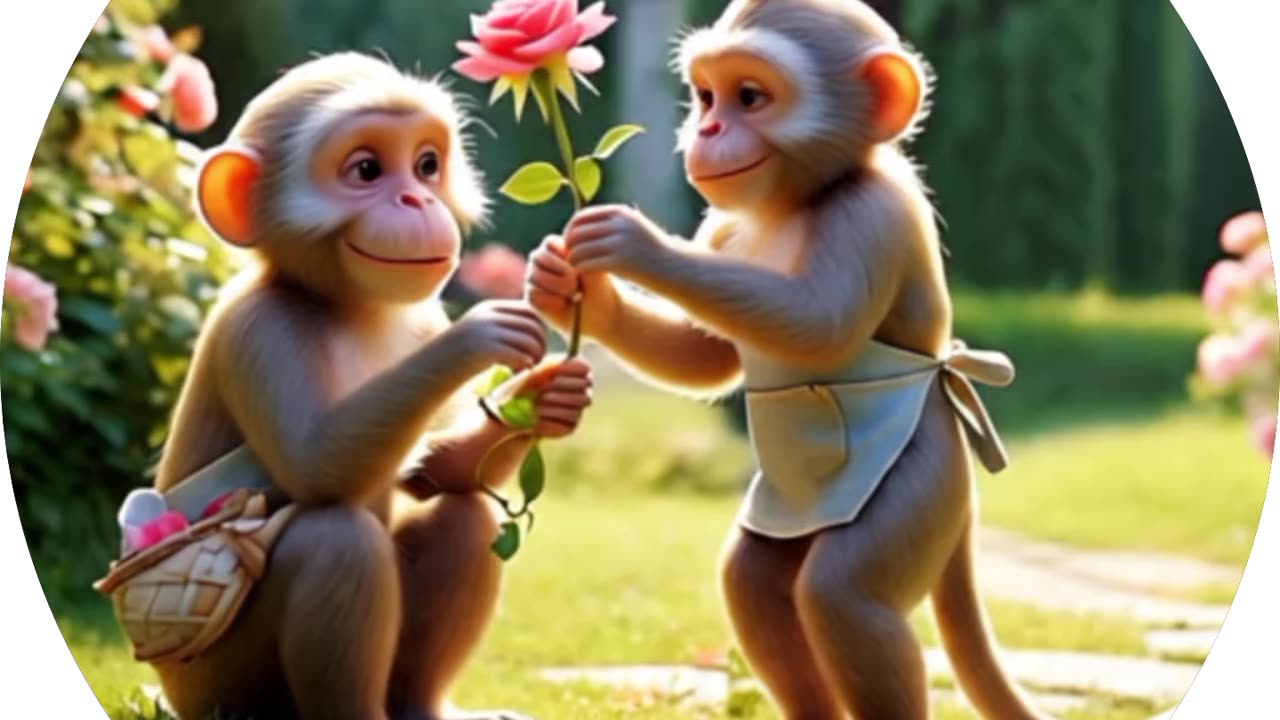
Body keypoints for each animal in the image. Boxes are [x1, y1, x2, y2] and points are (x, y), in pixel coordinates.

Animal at [147, 52, 593, 720]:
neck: (350, 309)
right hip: (213, 684)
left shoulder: (421, 316)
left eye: (427, 164)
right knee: (338, 541)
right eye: (366, 170)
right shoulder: (259, 331)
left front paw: (545, 399)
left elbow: (438, 473)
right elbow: (317, 467)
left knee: (465, 517)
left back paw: (422, 705)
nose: (416, 197)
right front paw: (480, 335)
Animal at [525, 1, 1044, 718]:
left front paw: (636, 244)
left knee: (843, 594)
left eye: (750, 97)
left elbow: (819, 325)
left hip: (927, 483)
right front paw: (574, 291)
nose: (708, 126)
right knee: (754, 578)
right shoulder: (723, 226)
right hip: (784, 510)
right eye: (707, 96)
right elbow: (708, 357)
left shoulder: (870, 214)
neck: (794, 203)